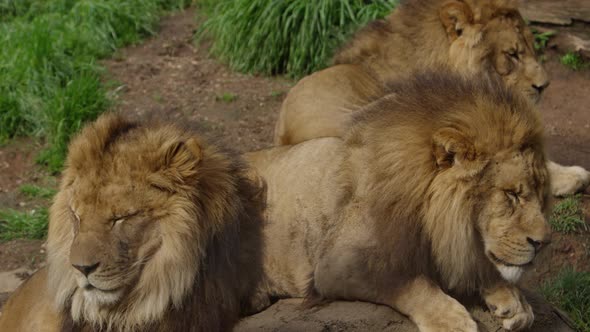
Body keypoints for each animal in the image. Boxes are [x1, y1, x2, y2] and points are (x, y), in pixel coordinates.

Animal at [247, 71, 556, 330]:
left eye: (540, 194)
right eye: (511, 193)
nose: (543, 243)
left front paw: (514, 301)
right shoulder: (336, 265)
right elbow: (409, 282)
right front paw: (450, 320)